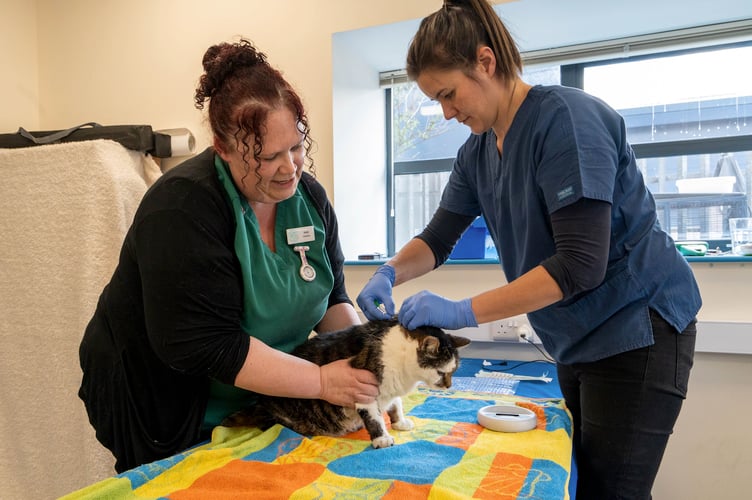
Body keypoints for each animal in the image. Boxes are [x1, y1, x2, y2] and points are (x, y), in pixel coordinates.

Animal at [222, 318, 470, 448]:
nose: (449, 386)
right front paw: (381, 438)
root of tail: (261, 404)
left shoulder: (391, 390)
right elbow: (374, 418)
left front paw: (399, 422)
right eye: (441, 372)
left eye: (454, 371)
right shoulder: (365, 391)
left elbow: (397, 404)